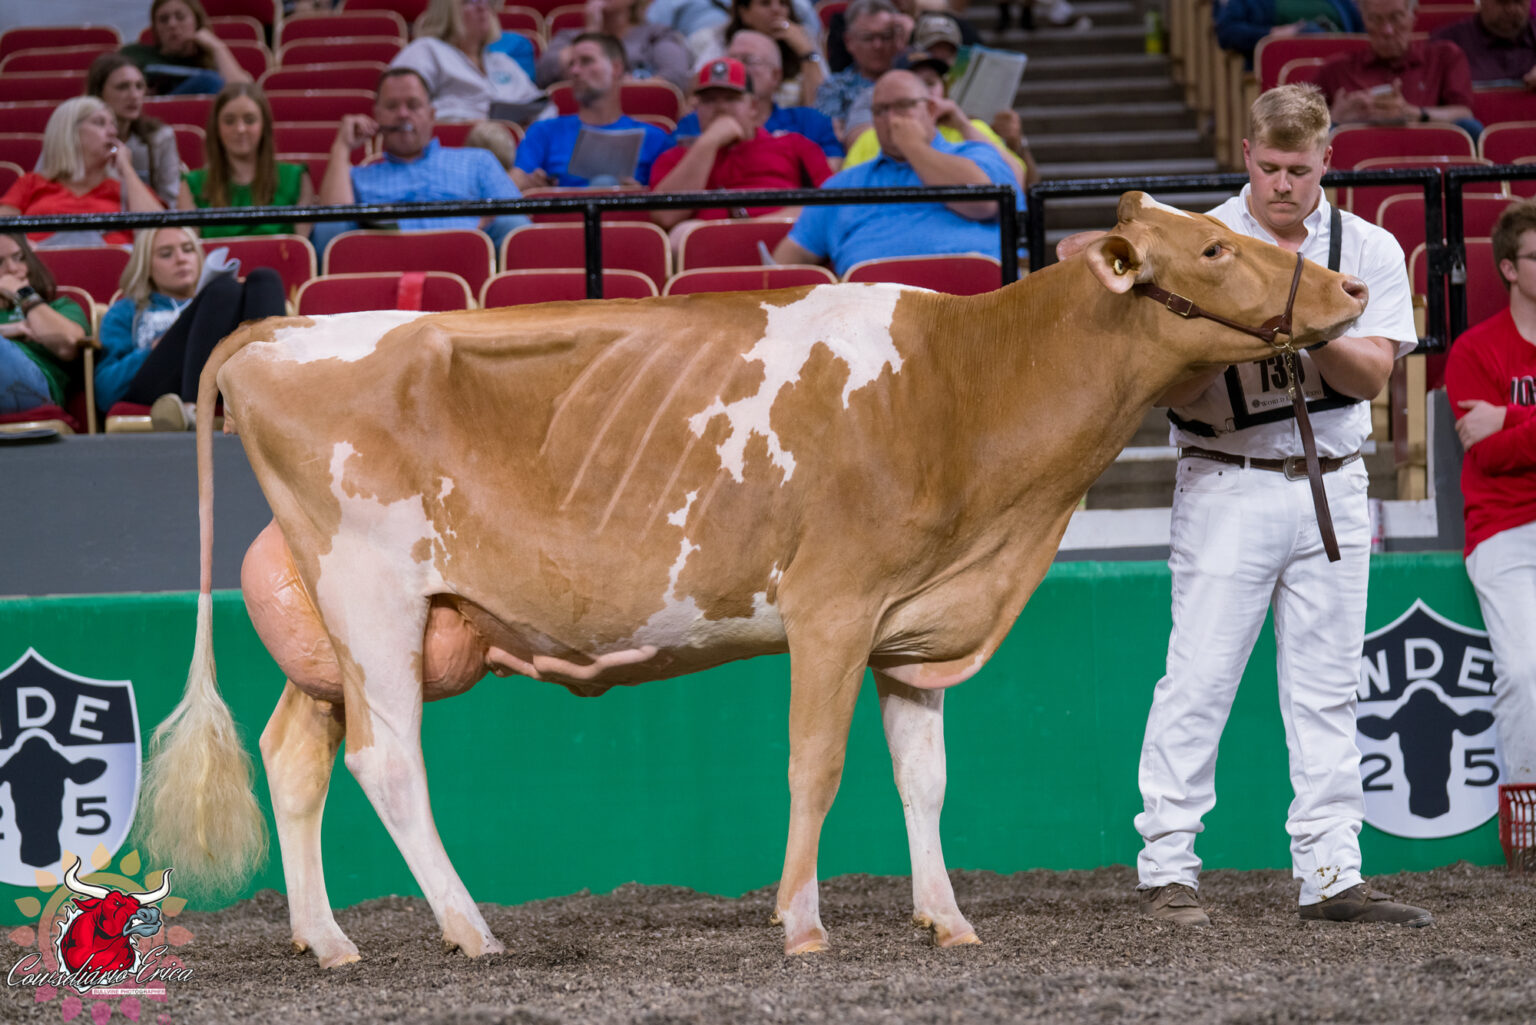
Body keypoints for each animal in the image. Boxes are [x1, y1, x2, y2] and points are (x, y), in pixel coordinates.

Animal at [139, 192, 1369, 967]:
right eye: (1212, 254)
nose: (1354, 291)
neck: (963, 390)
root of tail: (279, 332)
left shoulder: (911, 625)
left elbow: (925, 780)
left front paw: (946, 919)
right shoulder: (833, 605)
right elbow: (815, 766)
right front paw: (802, 922)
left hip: (343, 628)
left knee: (295, 755)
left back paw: (329, 939)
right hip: (376, 599)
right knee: (387, 761)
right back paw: (468, 927)